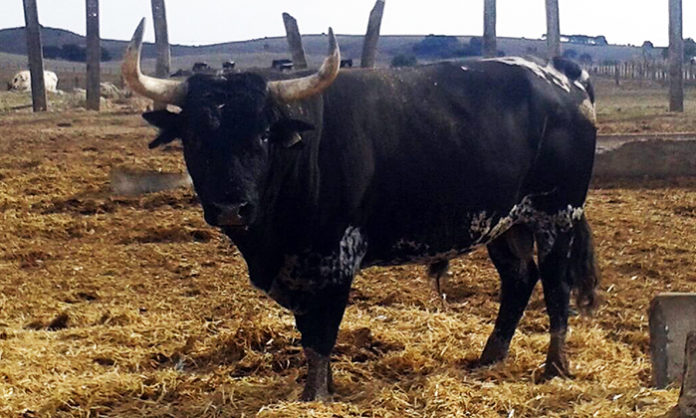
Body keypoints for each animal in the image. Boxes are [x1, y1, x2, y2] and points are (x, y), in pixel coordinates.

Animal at [121, 20, 600, 402]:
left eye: (263, 135)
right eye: (195, 138)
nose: (231, 207)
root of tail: (562, 75)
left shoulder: (336, 258)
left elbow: (321, 335)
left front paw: (315, 396)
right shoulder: (298, 268)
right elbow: (308, 333)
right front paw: (323, 387)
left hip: (557, 214)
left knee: (556, 287)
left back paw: (554, 368)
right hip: (505, 222)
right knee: (519, 279)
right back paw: (490, 358)